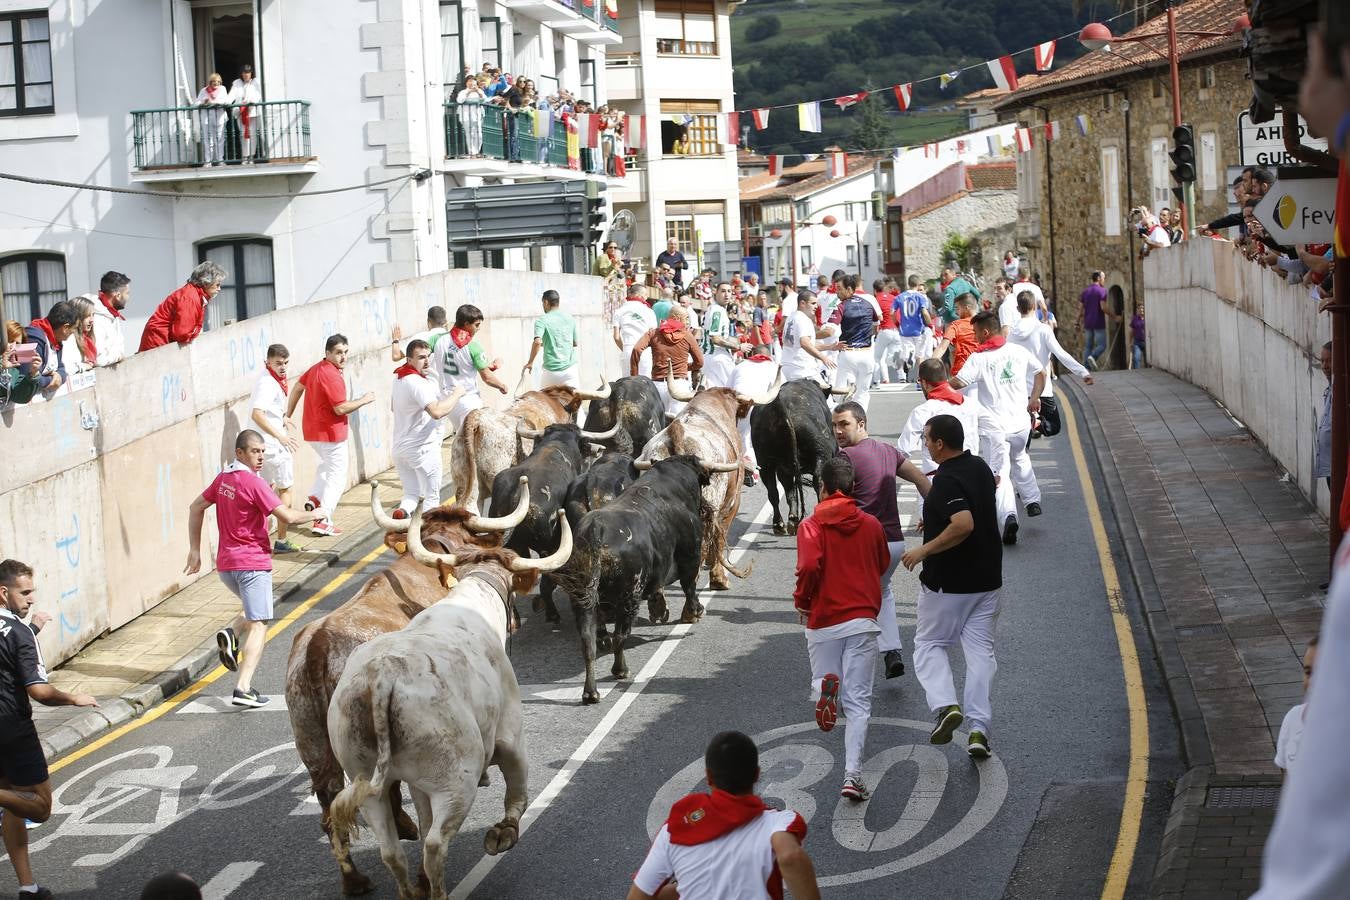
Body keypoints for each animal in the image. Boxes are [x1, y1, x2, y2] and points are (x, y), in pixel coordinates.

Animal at [329, 510, 572, 895]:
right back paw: (436, 888)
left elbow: (423, 815)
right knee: (434, 845)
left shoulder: (417, 783)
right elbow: (517, 790)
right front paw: (503, 833)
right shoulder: (511, 735)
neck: (473, 599)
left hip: (366, 782)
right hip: (456, 782)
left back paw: (412, 890)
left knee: (392, 851)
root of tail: (382, 676)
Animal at [745, 377, 837, 534]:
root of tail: (781, 408)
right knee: (818, 480)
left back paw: (782, 523)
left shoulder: (783, 468)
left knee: (774, 491)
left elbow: (789, 491)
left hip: (765, 462)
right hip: (821, 453)